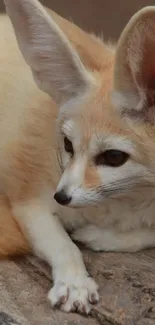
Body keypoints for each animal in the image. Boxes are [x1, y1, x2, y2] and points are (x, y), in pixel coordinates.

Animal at [0, 0, 155, 314]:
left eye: (114, 157)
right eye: (67, 145)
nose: (61, 197)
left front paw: (102, 236)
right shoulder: (30, 200)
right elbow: (63, 246)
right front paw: (74, 282)